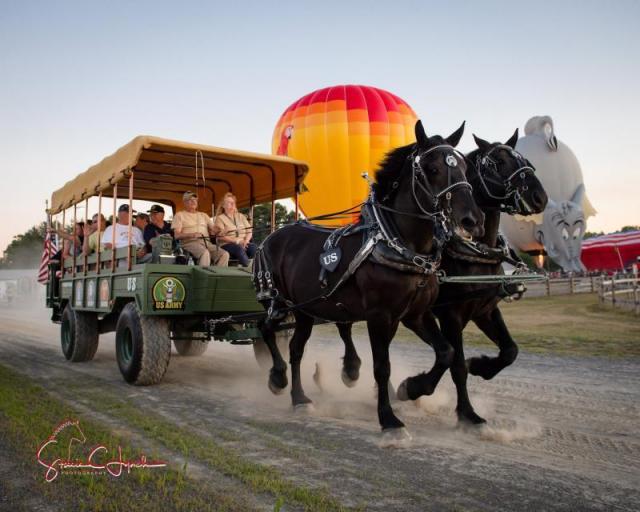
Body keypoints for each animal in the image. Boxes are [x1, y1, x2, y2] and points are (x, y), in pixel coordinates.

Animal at [252, 120, 482, 432]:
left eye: (464, 167)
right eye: (433, 169)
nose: (472, 219)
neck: (398, 243)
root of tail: (269, 239)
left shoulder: (415, 314)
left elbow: (445, 352)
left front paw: (412, 387)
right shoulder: (379, 315)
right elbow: (382, 367)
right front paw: (389, 419)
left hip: (305, 311)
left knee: (296, 348)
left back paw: (299, 398)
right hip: (279, 303)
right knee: (265, 329)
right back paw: (278, 377)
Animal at [332, 129, 548, 424]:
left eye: (524, 159)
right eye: (499, 163)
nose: (540, 197)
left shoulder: (485, 310)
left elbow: (509, 351)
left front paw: (480, 366)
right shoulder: (449, 316)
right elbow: (456, 366)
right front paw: (464, 412)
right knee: (343, 325)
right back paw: (352, 370)